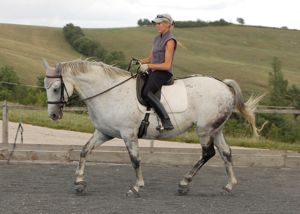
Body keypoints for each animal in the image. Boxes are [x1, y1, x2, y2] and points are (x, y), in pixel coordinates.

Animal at [42, 58, 262, 196]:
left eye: (56, 88)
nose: (53, 115)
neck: (109, 93)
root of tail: (224, 86)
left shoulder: (128, 134)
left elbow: (135, 160)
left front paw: (136, 187)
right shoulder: (104, 133)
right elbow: (84, 151)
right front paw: (79, 183)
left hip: (204, 130)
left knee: (208, 154)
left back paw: (184, 183)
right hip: (216, 130)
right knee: (226, 153)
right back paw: (228, 186)